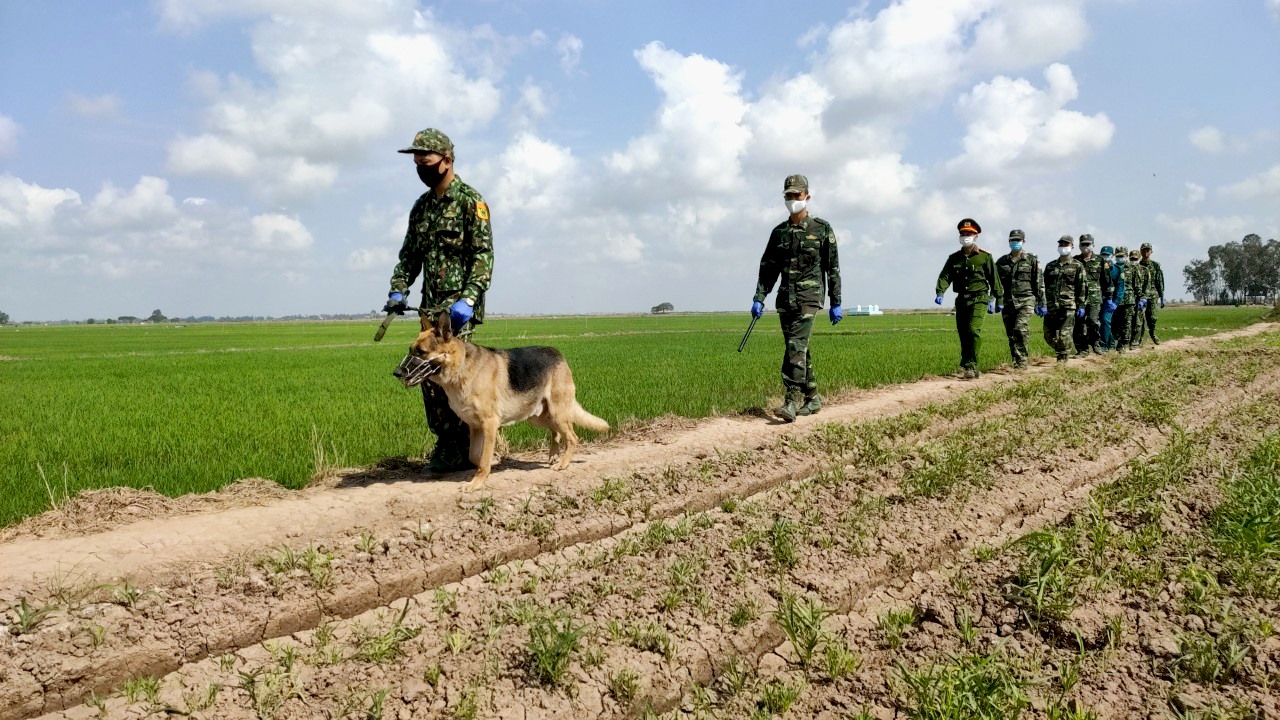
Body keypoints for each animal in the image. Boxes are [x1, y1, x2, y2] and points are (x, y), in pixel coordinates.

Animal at [394, 311, 609, 484]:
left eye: (421, 352)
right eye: (410, 350)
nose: (396, 373)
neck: (460, 367)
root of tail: (558, 353)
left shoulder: (490, 424)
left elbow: (482, 458)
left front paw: (476, 483)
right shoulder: (475, 427)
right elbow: (475, 456)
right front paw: (491, 464)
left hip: (557, 412)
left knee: (572, 437)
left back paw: (563, 463)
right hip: (538, 416)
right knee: (556, 433)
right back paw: (553, 456)